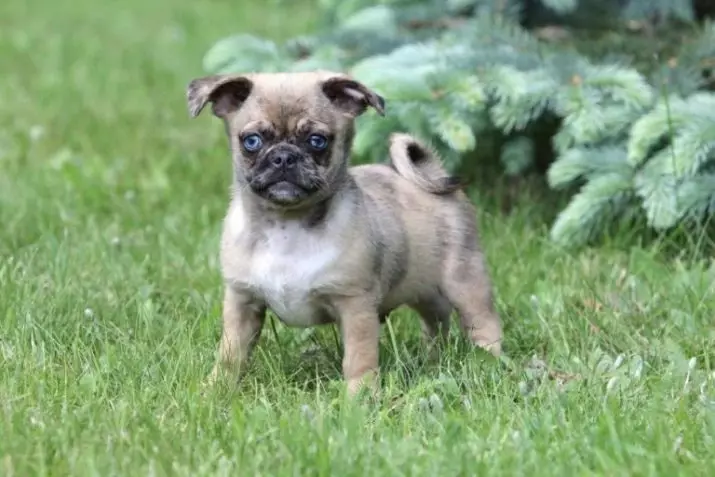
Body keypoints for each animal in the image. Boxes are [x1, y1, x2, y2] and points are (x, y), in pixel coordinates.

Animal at [187, 69, 506, 392]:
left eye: (317, 141)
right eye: (251, 141)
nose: (284, 157)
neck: (287, 225)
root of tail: (433, 176)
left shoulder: (355, 307)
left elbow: (358, 359)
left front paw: (359, 395)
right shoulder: (242, 302)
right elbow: (232, 352)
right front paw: (216, 389)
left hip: (464, 281)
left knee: (483, 323)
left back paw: (489, 363)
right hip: (422, 287)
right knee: (436, 319)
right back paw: (433, 360)